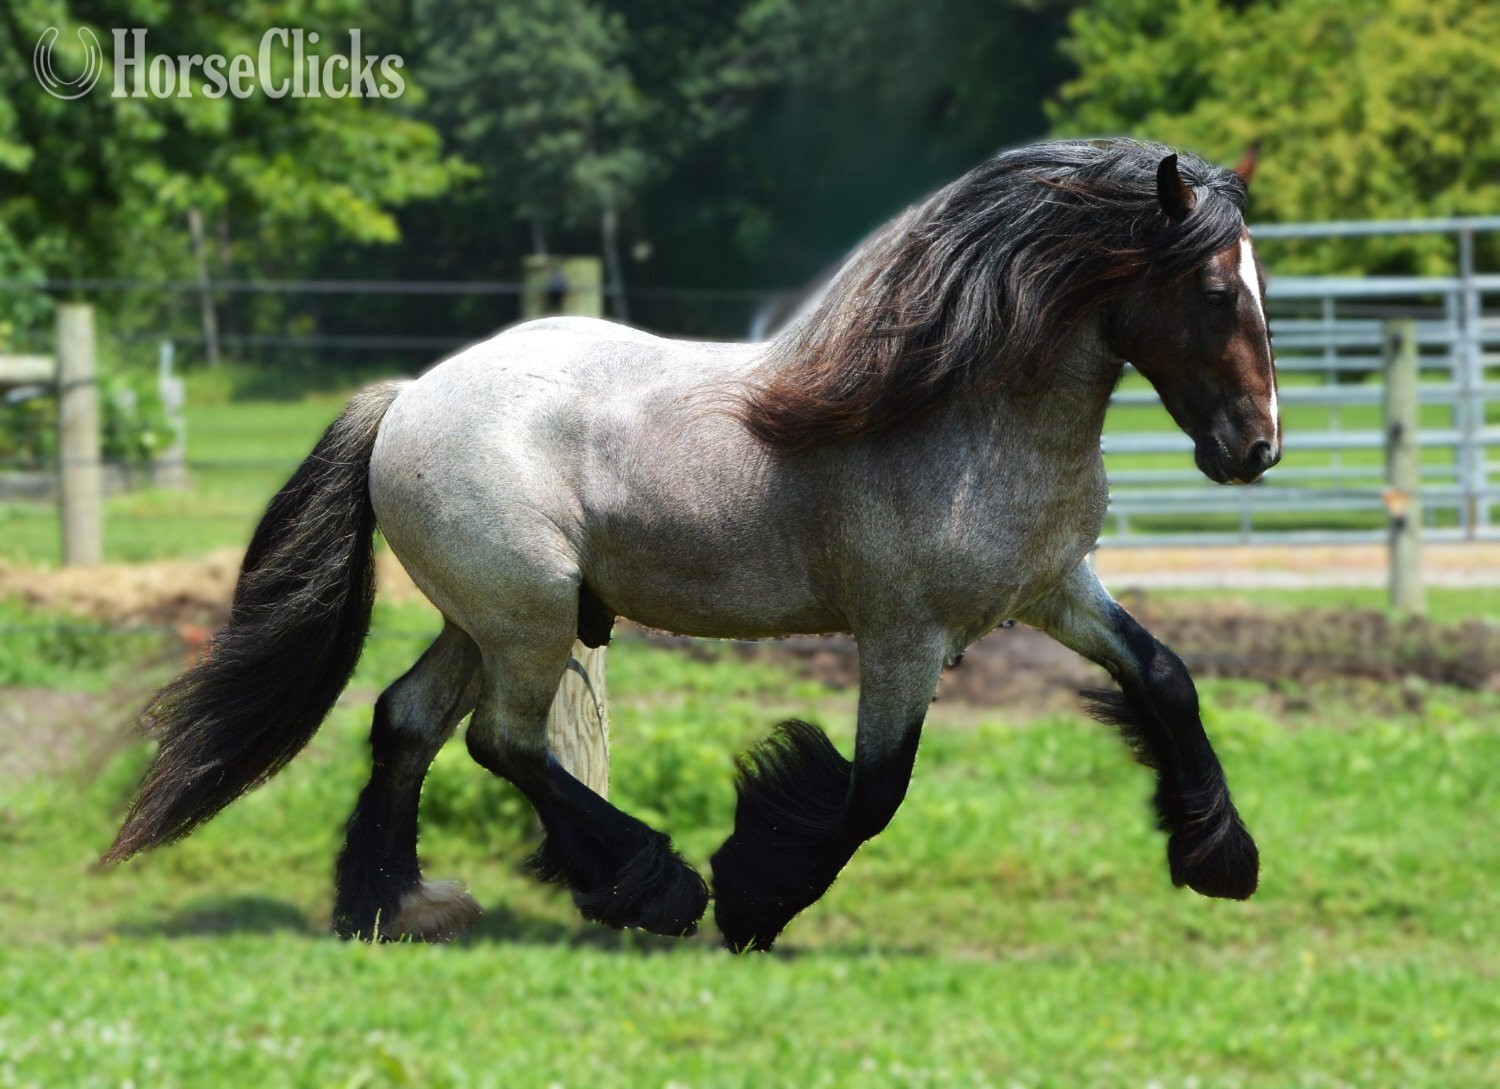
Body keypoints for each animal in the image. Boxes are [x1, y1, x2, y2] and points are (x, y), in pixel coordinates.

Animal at [103, 139, 1279, 952]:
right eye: (1216, 288)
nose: (1255, 448)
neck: (964, 413)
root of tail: (405, 400)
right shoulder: (905, 636)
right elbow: (872, 791)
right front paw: (755, 897)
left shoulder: (1057, 590)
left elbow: (1166, 677)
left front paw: (1221, 859)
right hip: (529, 616)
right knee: (502, 741)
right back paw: (651, 885)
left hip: (485, 618)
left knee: (408, 723)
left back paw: (392, 909)